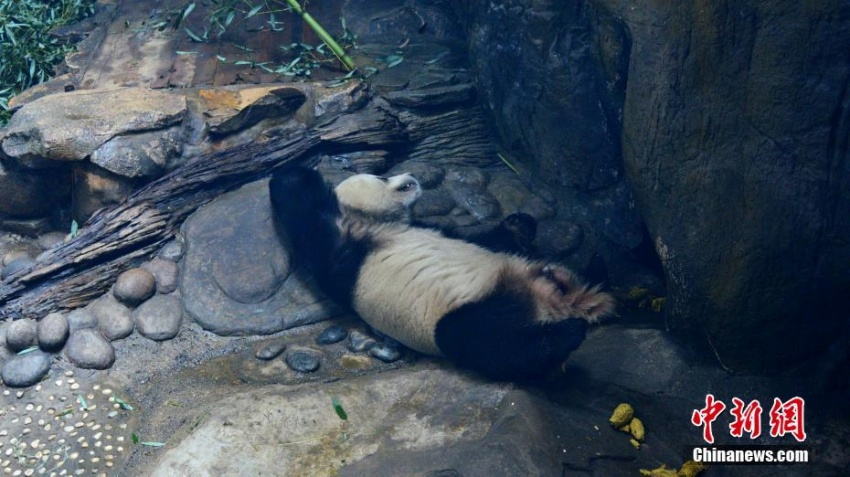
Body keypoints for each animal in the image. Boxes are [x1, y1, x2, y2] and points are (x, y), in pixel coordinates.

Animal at [268, 165, 612, 382]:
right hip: (458, 318)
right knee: (494, 345)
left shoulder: (435, 229)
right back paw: (566, 333)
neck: (374, 223)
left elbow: (487, 239)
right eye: (382, 175)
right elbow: (301, 210)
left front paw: (520, 223)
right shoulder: (340, 246)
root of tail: (549, 303)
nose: (411, 176)